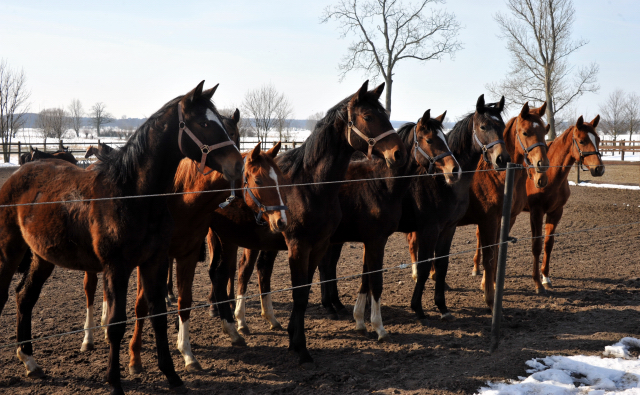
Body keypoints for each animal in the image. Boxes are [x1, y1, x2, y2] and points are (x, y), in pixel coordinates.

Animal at [0, 81, 242, 395]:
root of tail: (20, 172)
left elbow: (158, 315)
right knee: (4, 296)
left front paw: (172, 375)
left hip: (42, 257)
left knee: (24, 297)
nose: (238, 165)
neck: (133, 194)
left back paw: (29, 360)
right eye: (203, 123)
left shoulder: (154, 262)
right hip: (9, 251)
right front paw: (115, 382)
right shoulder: (117, 267)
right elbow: (116, 323)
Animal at [205, 81, 404, 368]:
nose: (398, 153)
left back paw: (234, 329)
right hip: (222, 238)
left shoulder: (319, 246)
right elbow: (298, 294)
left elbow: (306, 290)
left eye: (385, 115)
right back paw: (232, 326)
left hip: (231, 238)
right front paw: (300, 347)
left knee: (224, 275)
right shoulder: (299, 247)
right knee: (223, 276)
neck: (311, 186)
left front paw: (293, 337)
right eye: (368, 116)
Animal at [458, 102, 552, 310]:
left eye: (544, 131)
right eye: (525, 132)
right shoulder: (490, 219)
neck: (497, 175)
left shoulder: (508, 218)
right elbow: (491, 253)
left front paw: (491, 284)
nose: (542, 164)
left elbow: (498, 250)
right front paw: (488, 288)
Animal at [524, 116, 604, 292]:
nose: (599, 169)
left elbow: (548, 244)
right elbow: (536, 245)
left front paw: (545, 278)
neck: (549, 175)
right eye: (582, 141)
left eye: (598, 139)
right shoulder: (536, 213)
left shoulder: (555, 212)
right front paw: (537, 282)